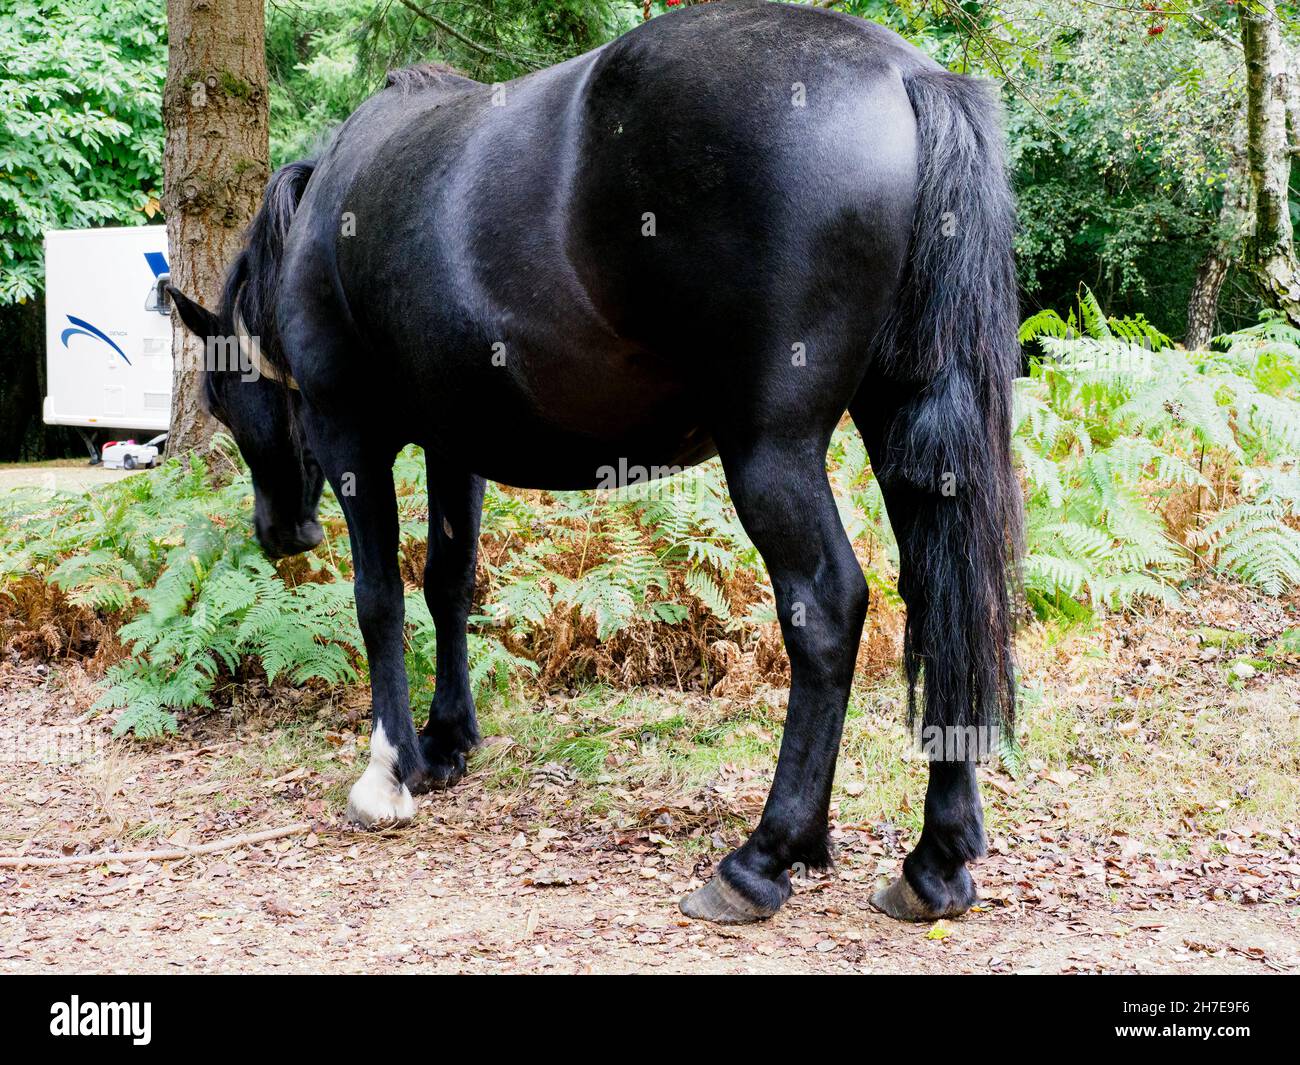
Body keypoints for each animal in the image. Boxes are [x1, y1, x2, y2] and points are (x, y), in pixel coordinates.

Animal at [167, 2, 1019, 925]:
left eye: (225, 399)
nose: (280, 532)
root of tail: (905, 74)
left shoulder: (350, 431)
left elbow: (378, 597)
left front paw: (388, 770)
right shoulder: (454, 444)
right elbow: (448, 582)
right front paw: (446, 740)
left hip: (772, 448)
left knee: (827, 606)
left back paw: (763, 855)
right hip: (902, 423)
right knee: (943, 594)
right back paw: (935, 860)